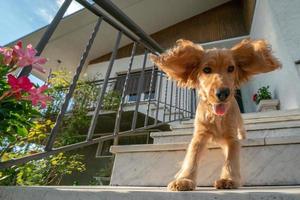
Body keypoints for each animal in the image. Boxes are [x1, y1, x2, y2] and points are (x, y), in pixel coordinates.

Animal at [152, 39, 282, 191]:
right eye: (207, 70)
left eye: (231, 68)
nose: (223, 93)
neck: (217, 116)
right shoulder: (200, 134)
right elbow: (192, 156)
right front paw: (184, 179)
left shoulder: (232, 137)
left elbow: (231, 157)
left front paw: (228, 179)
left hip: (240, 122)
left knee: (242, 131)